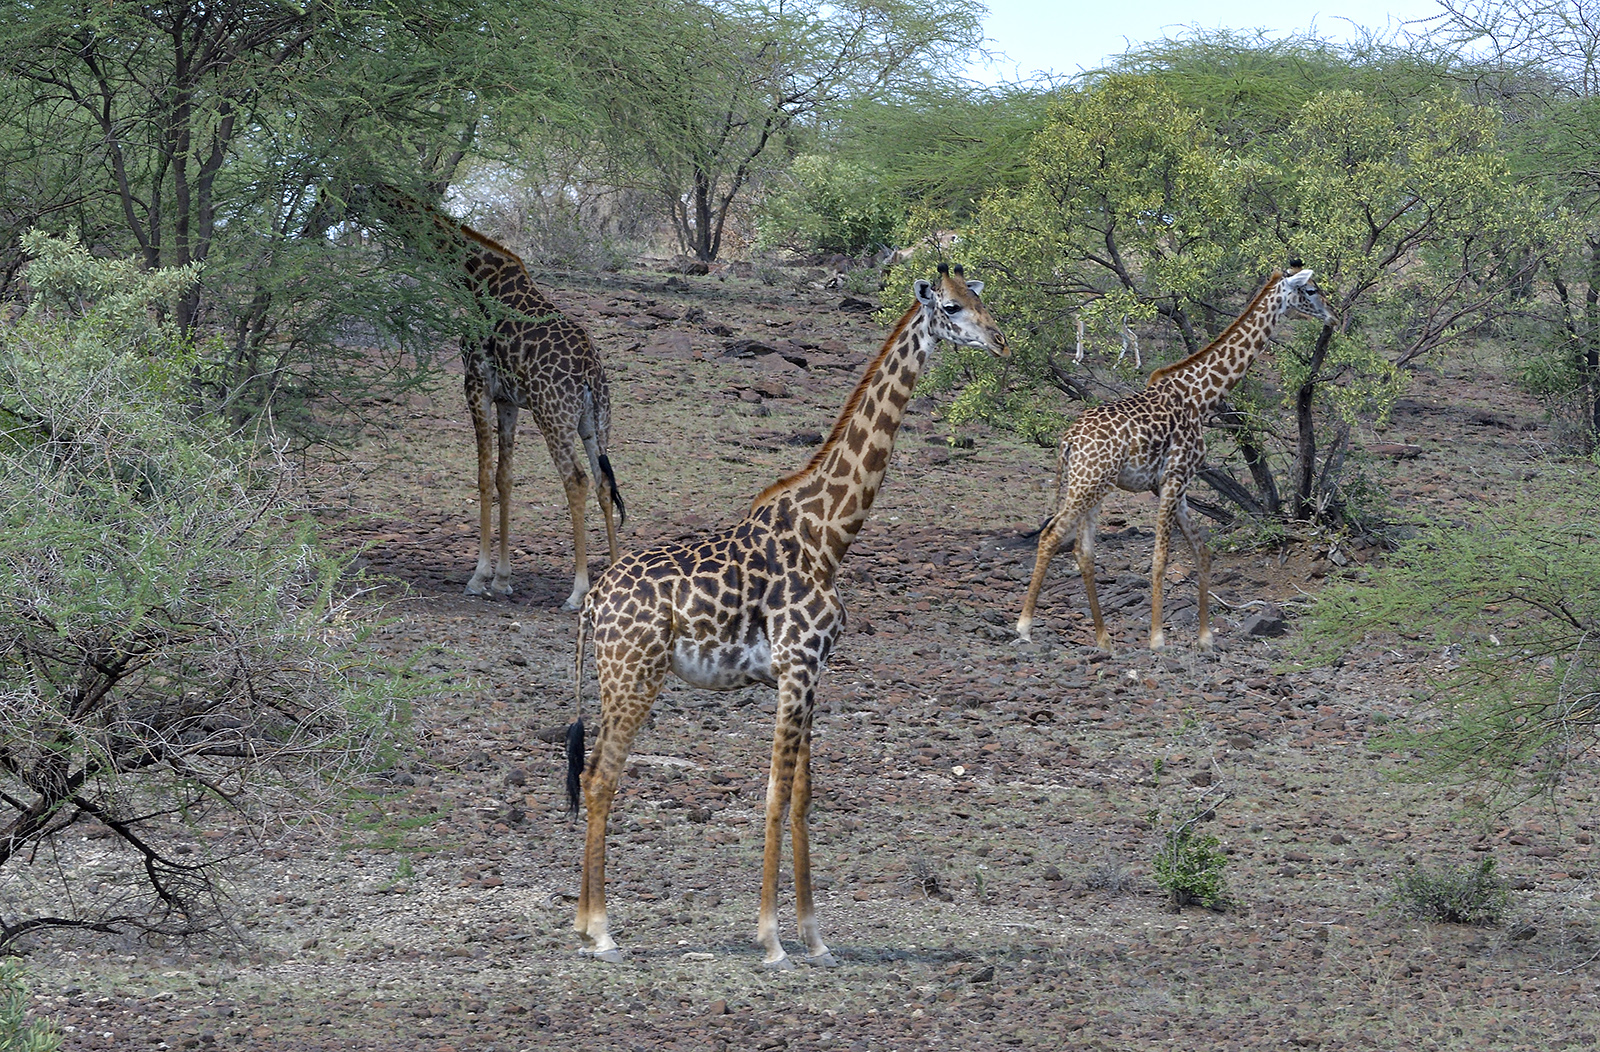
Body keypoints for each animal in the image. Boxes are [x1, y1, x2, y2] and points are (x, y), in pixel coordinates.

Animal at [353, 182, 620, 607]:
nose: (343, 204)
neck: (477, 278)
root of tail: (590, 371)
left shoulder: (475, 383)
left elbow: (481, 475)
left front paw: (478, 577)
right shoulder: (508, 400)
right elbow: (504, 477)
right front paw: (502, 579)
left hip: (553, 414)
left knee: (576, 480)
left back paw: (578, 592)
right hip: (595, 421)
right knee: (603, 483)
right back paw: (615, 578)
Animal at [569, 263, 1004, 965]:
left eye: (979, 300)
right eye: (953, 308)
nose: (1000, 341)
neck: (828, 534)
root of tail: (593, 604)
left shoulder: (812, 673)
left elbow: (803, 796)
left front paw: (815, 938)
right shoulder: (797, 663)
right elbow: (774, 793)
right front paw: (772, 939)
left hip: (616, 679)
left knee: (587, 773)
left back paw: (584, 924)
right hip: (636, 676)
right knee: (604, 778)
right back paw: (604, 930)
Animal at [1011, 263, 1337, 645]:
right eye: (1312, 290)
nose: (1333, 316)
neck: (1201, 396)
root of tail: (1068, 439)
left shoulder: (1177, 486)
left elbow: (1202, 552)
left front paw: (1205, 637)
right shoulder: (1173, 477)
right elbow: (1161, 557)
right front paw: (1157, 638)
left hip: (1095, 486)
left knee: (1083, 550)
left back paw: (1104, 639)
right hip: (1087, 483)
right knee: (1051, 536)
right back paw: (1025, 626)